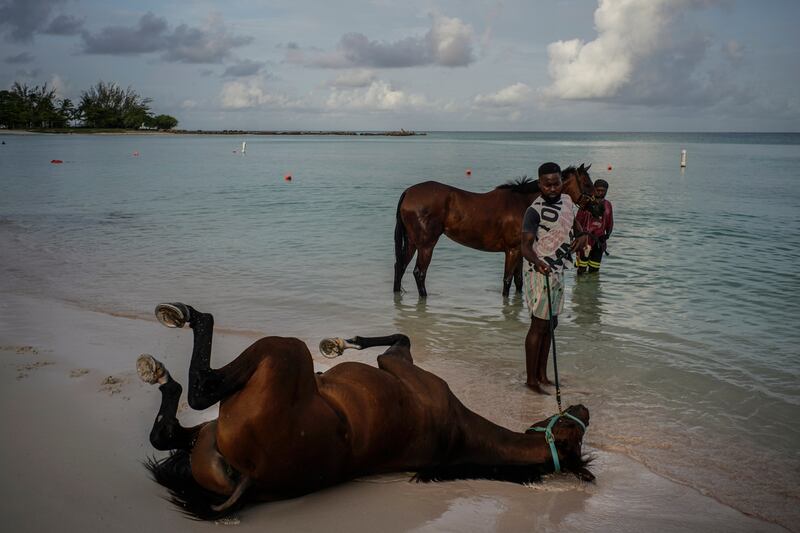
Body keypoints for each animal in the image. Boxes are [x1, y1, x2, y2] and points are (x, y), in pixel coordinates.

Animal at [138, 304, 592, 520]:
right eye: (576, 430)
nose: (584, 406)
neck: (460, 432)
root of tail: (250, 480)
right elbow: (400, 334)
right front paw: (340, 345)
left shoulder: (397, 364)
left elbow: (399, 338)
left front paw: (340, 345)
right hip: (206, 437)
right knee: (167, 433)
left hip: (283, 352)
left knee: (200, 389)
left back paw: (178, 329)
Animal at [390, 164, 596, 298]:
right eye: (587, 184)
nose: (598, 207)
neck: (523, 204)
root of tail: (409, 192)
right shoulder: (512, 251)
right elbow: (507, 281)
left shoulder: (520, 251)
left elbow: (518, 281)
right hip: (426, 245)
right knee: (419, 273)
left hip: (412, 243)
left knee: (400, 266)